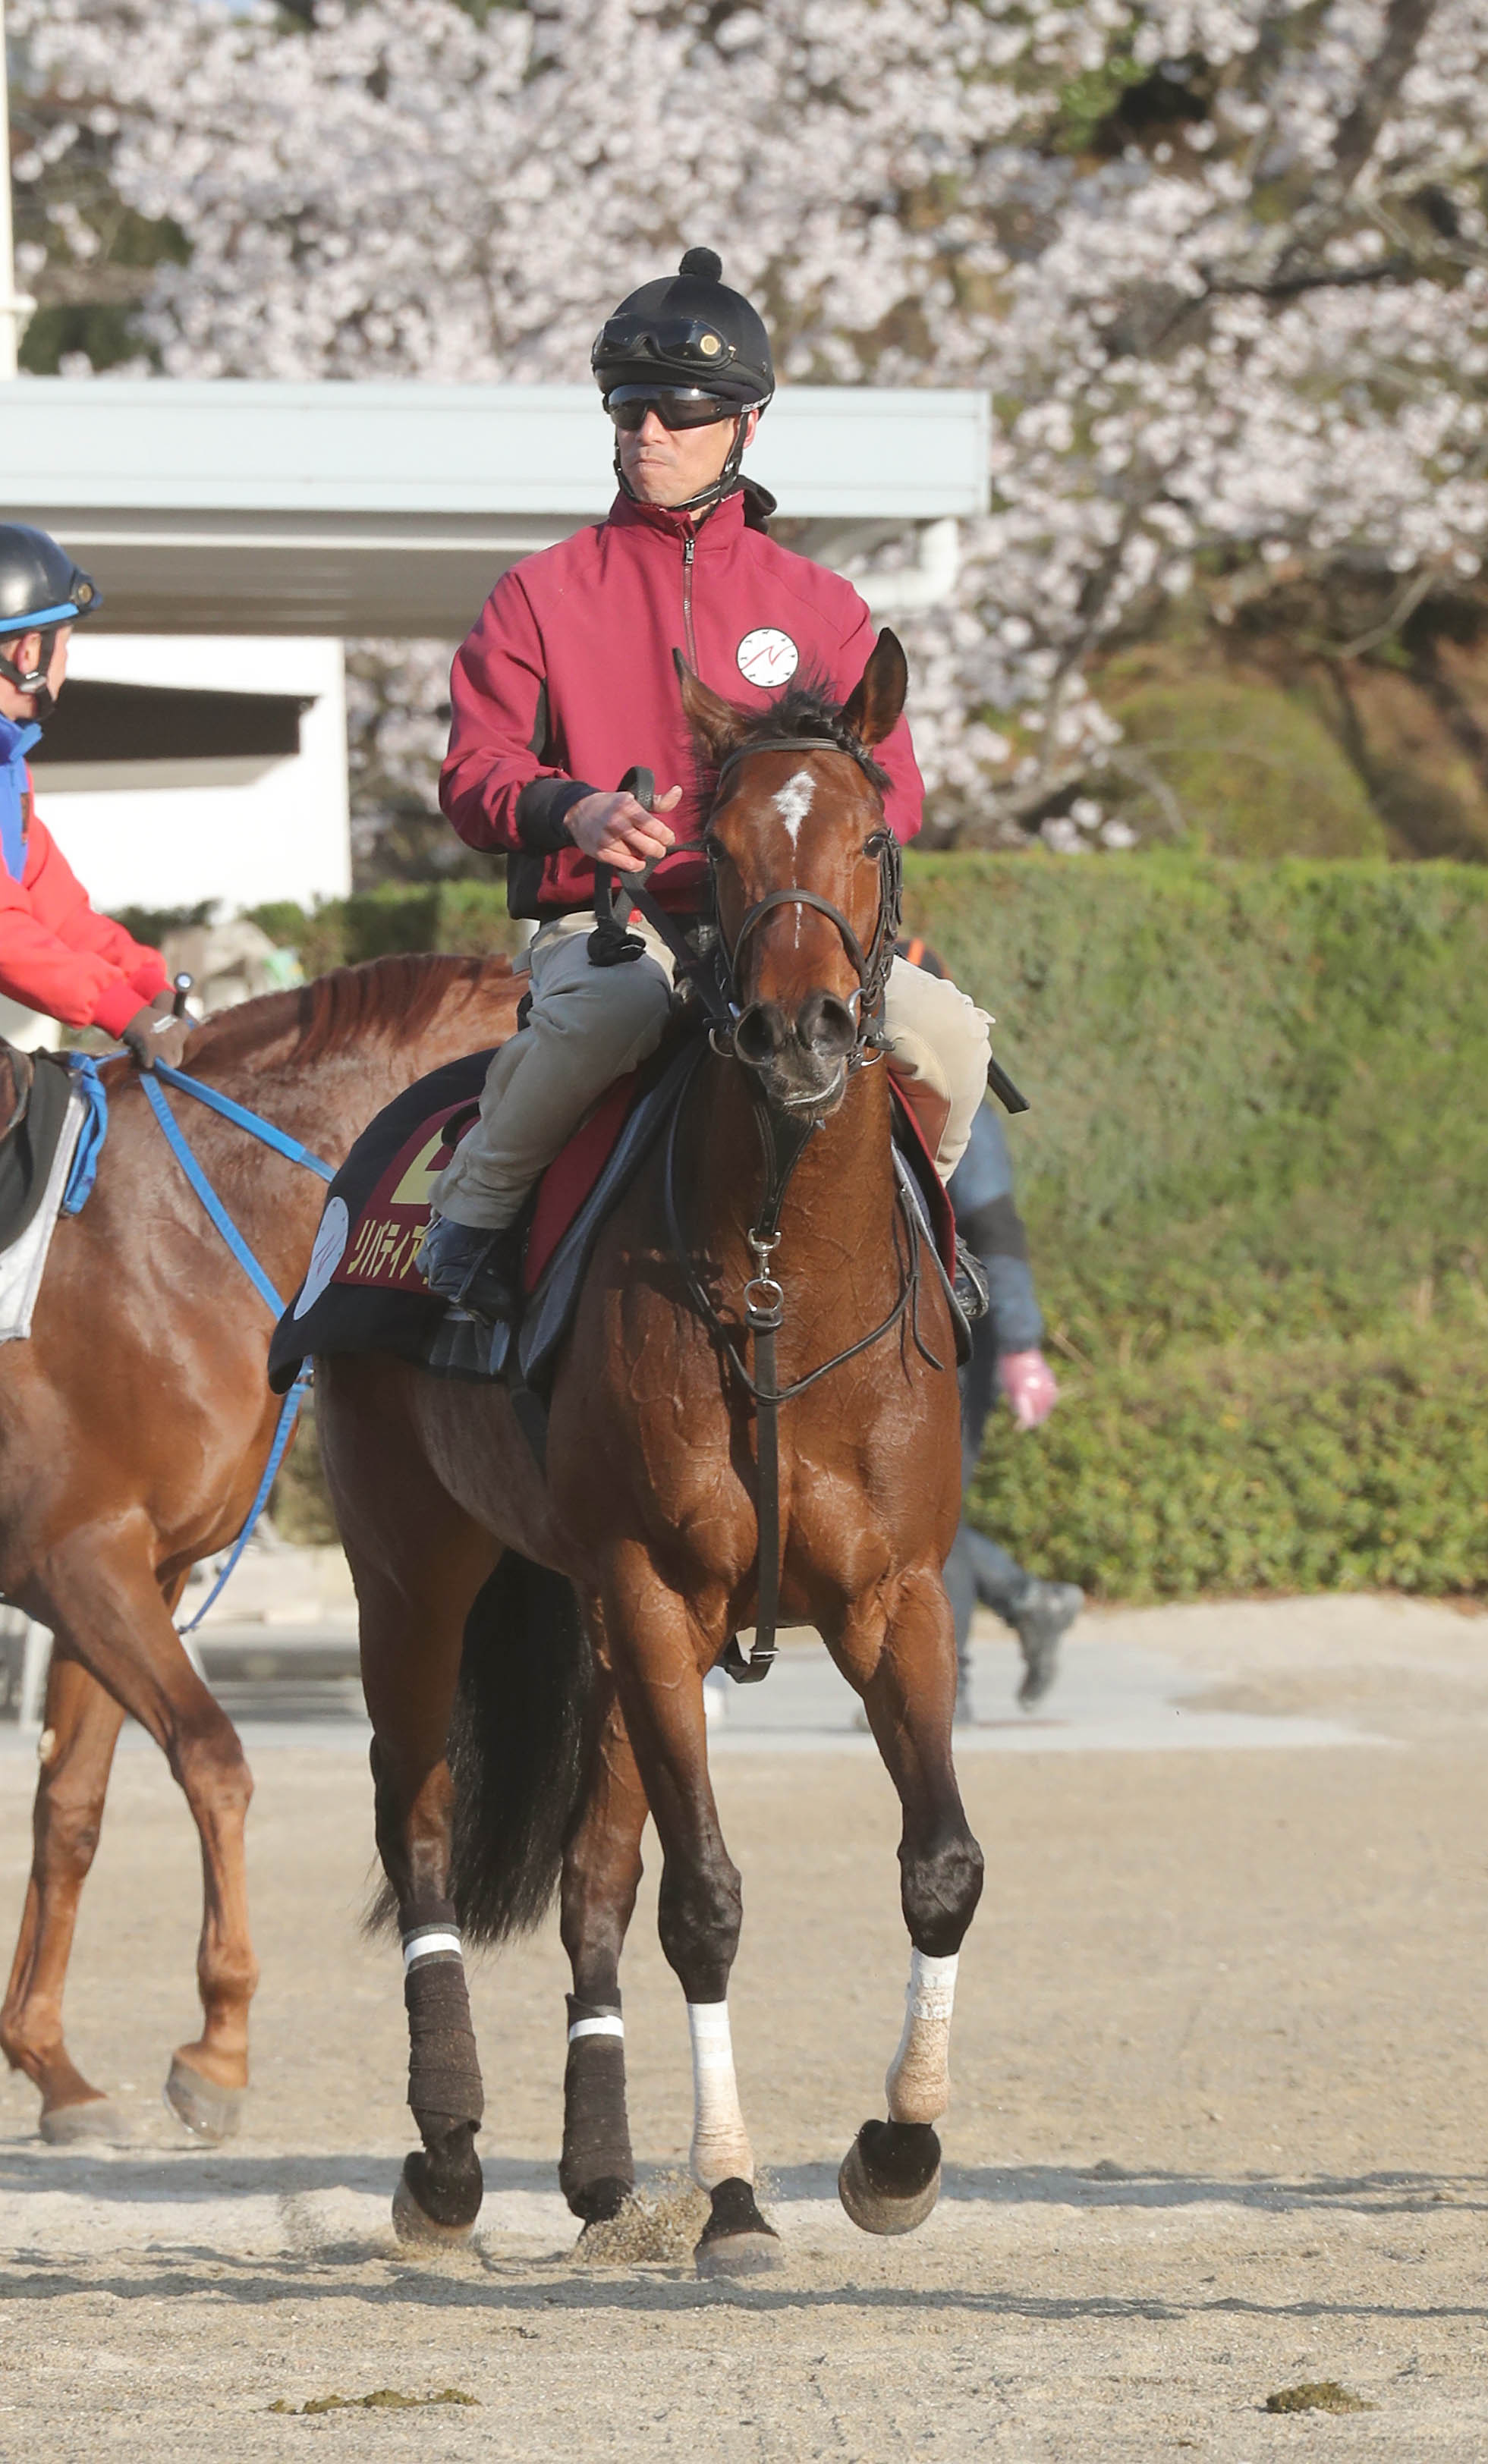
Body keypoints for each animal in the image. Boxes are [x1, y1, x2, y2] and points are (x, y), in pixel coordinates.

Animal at [0, 953, 523, 2143]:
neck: (177, 1236)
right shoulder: (78, 1561)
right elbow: (214, 1759)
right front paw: (220, 2047)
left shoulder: (136, 1570)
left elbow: (70, 1812)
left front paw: (53, 2068)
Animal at [314, 633, 985, 2273]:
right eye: (713, 844)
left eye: (868, 837)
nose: (801, 1033)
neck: (777, 1276)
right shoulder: (653, 1590)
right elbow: (709, 1904)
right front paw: (735, 2195)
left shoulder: (892, 1598)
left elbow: (937, 1863)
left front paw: (895, 2149)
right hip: (416, 1574)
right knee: (419, 1822)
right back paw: (446, 2158)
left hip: (597, 1636)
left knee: (592, 1876)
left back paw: (602, 2165)